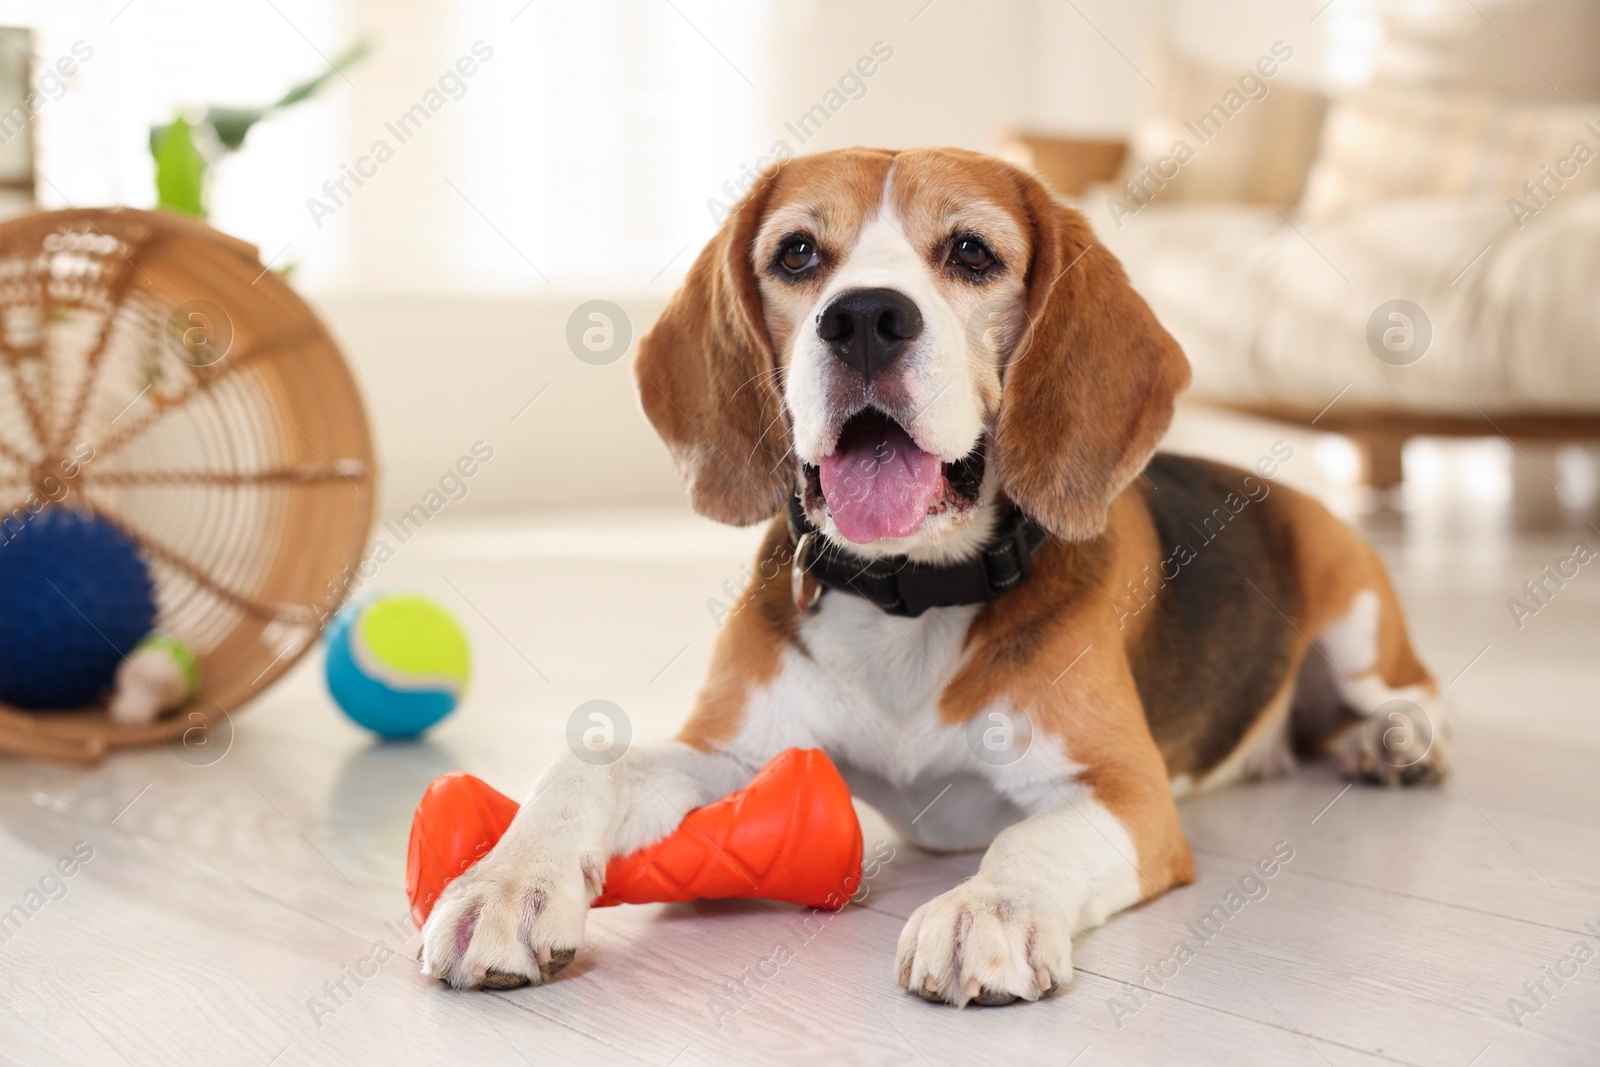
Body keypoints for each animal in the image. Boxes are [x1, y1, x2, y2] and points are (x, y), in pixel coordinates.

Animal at [419, 147, 1446, 1011]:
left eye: (971, 252)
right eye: (798, 253)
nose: (864, 318)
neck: (908, 595)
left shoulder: (1128, 795)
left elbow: (1030, 836)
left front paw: (986, 909)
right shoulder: (733, 754)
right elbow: (586, 766)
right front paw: (507, 881)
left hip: (1355, 614)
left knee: (1412, 688)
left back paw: (1395, 742)